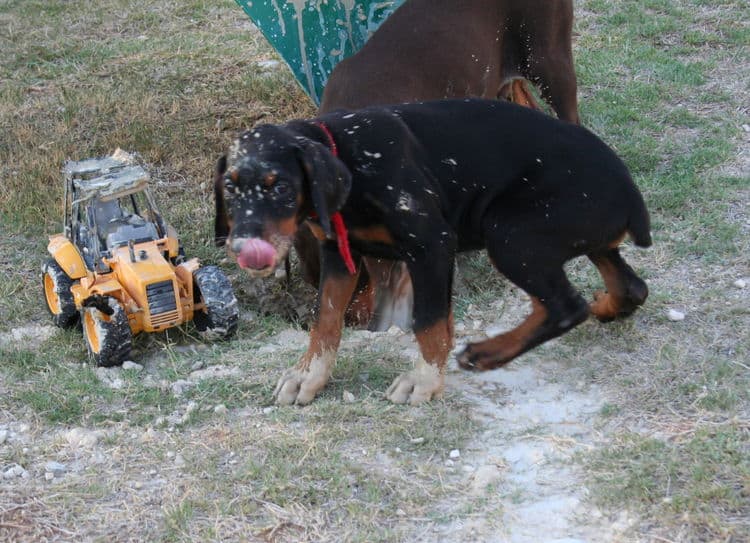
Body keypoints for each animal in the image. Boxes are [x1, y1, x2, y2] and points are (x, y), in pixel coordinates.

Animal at [216, 98, 652, 406]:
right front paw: (310, 376)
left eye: (280, 186)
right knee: (629, 287)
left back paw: (488, 353)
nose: (241, 247)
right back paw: (605, 307)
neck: (351, 156)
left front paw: (423, 381)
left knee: (565, 306)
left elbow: (428, 321)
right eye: (230, 187)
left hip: (509, 232)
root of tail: (631, 192)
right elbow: (326, 319)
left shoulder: (432, 245)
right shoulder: (338, 253)